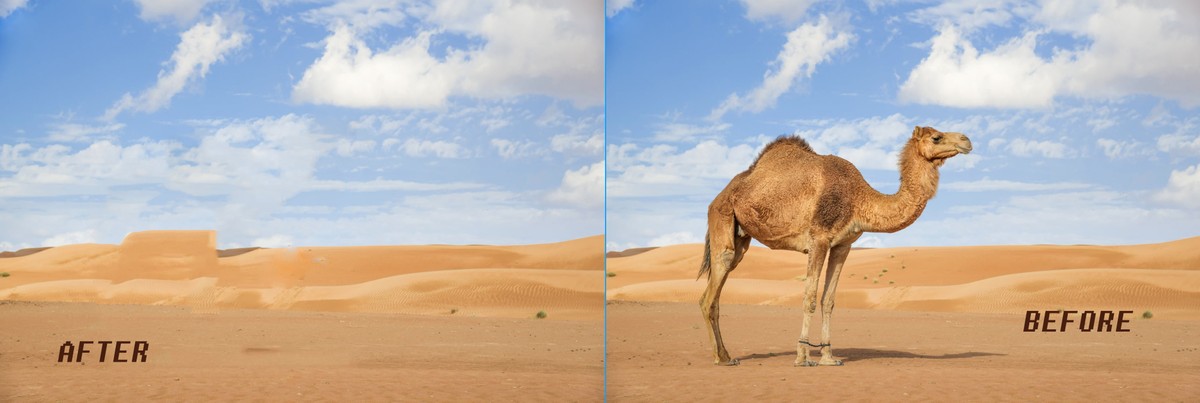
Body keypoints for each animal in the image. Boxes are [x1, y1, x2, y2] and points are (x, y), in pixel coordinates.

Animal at [698, 126, 972, 366]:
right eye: (936, 137)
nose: (967, 140)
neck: (857, 198)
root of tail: (718, 196)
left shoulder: (843, 245)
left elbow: (828, 300)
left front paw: (829, 357)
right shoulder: (818, 239)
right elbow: (809, 296)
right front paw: (803, 357)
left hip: (741, 237)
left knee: (716, 288)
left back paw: (725, 355)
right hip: (722, 215)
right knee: (714, 285)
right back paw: (722, 358)